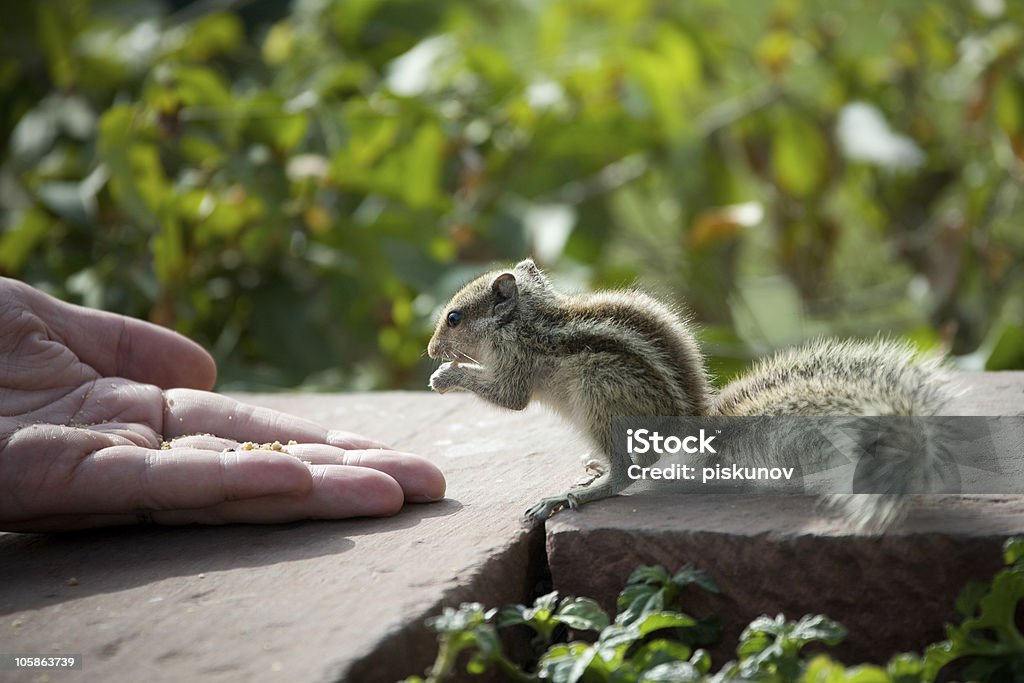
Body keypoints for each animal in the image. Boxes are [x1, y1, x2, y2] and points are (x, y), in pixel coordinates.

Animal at [428, 259, 954, 528]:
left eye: (454, 317)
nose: (431, 350)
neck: (525, 320)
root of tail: (691, 424)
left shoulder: (517, 361)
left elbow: (508, 397)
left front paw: (447, 376)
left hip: (599, 393)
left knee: (628, 474)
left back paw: (575, 494)